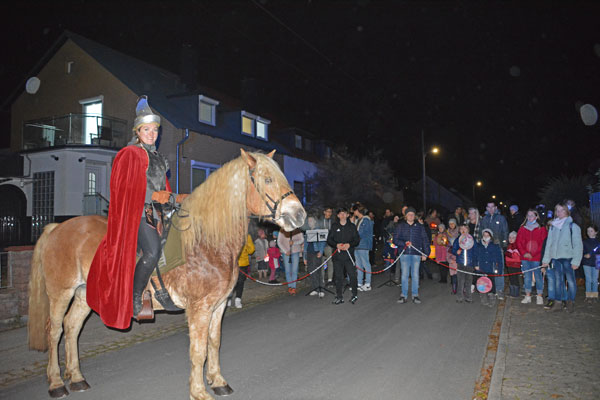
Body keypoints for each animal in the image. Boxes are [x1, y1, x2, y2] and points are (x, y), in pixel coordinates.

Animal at [27, 148, 304, 398]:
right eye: (267, 179)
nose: (298, 214)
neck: (206, 242)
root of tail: (56, 227)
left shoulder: (218, 306)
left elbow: (214, 343)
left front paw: (218, 381)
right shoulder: (199, 309)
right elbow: (198, 350)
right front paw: (199, 392)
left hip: (85, 294)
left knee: (72, 327)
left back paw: (76, 378)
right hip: (60, 293)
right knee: (55, 331)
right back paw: (56, 383)